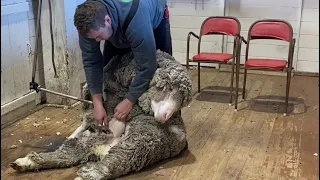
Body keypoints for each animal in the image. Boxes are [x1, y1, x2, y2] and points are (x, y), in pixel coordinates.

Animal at [10, 50, 192, 179]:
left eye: (182, 98)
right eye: (166, 86)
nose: (165, 117)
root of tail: (104, 148)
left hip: (135, 146)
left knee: (108, 166)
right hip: (87, 142)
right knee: (65, 155)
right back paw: (26, 162)